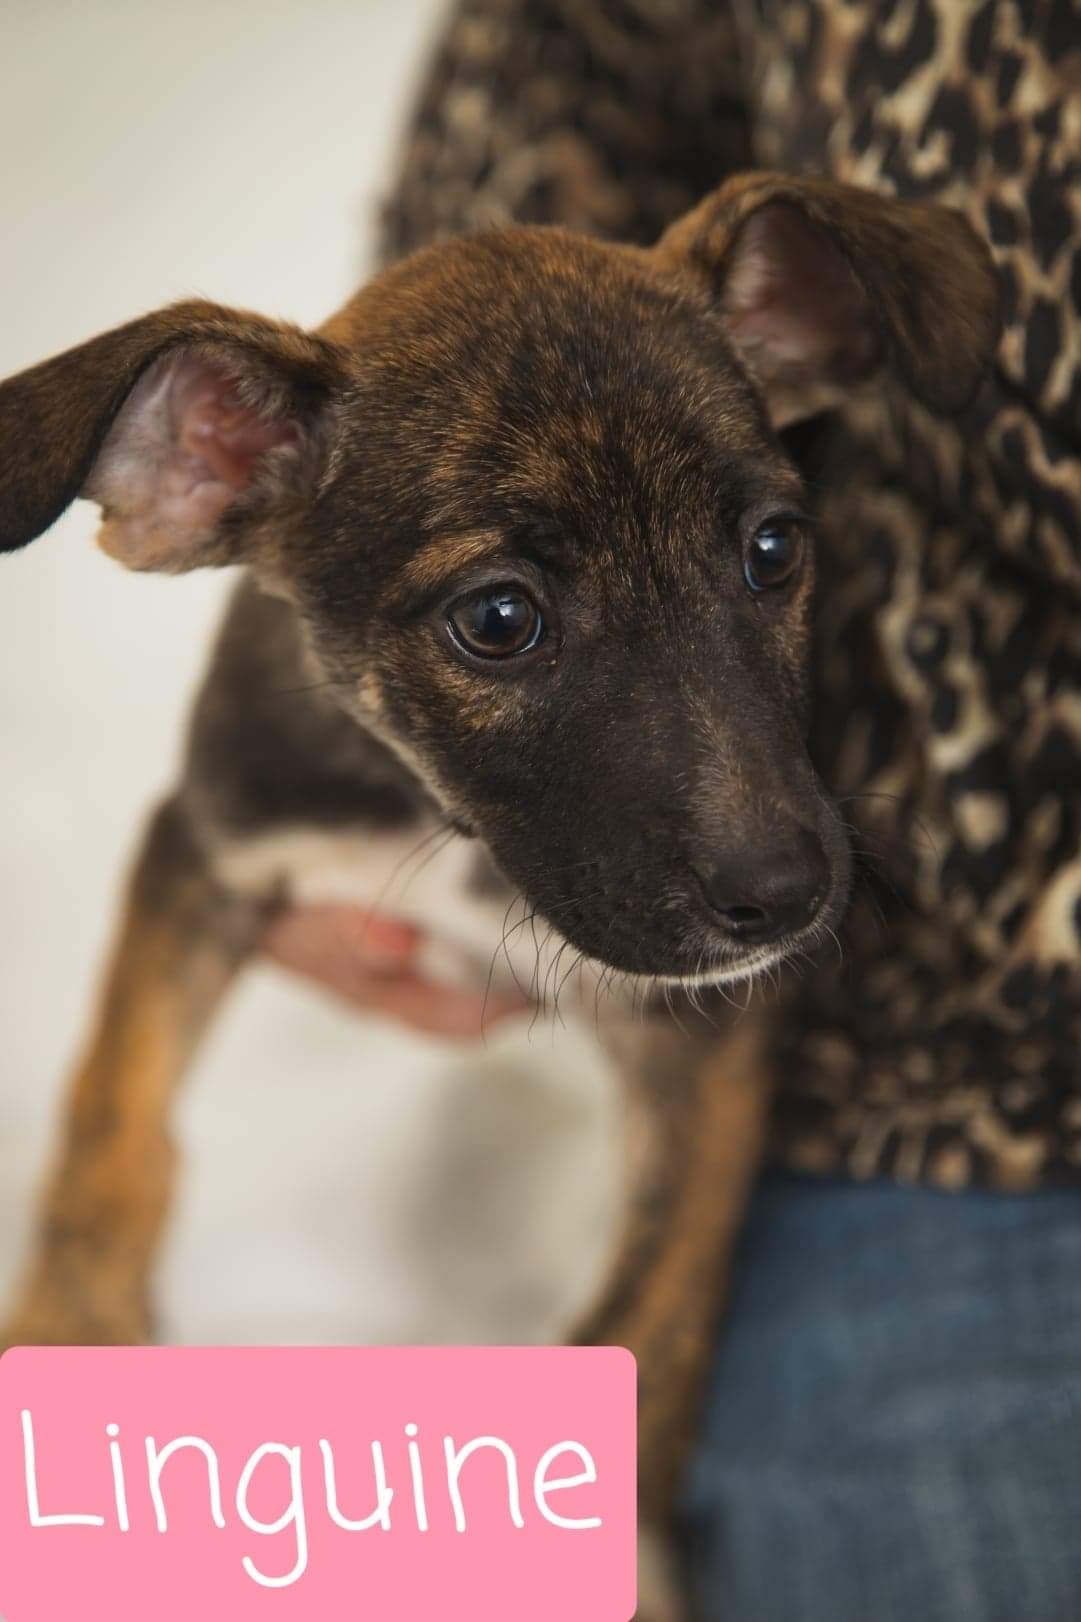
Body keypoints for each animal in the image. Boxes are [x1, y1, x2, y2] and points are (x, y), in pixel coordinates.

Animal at [0, 171, 993, 1615]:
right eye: (499, 619)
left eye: (772, 547)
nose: (792, 893)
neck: (439, 817)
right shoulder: (205, 843)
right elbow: (112, 1109)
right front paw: (68, 1327)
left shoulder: (706, 1038)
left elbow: (651, 1310)